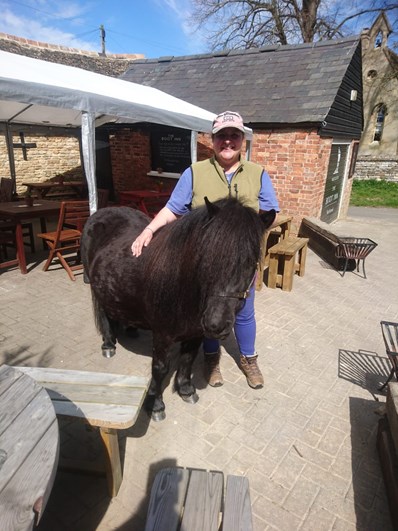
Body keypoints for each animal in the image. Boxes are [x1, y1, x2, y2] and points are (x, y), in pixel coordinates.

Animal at [80, 197, 274, 422]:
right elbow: (160, 368)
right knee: (104, 313)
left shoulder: (196, 333)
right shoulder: (162, 335)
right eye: (207, 257)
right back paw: (109, 344)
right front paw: (155, 405)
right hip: (94, 286)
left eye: (251, 263)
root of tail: (102, 212)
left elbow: (188, 359)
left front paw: (186, 390)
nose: (216, 324)